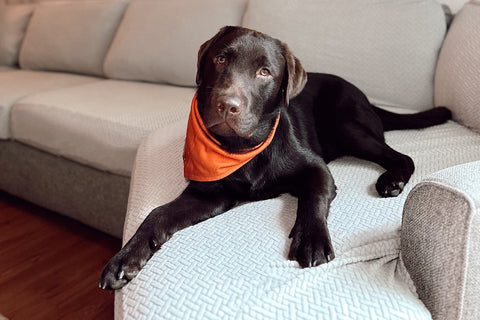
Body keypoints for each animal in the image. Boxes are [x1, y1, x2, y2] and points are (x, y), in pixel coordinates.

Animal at [99, 25, 452, 290]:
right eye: (220, 58)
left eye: (264, 72)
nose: (227, 105)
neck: (241, 148)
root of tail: (366, 96)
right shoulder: (208, 193)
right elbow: (157, 214)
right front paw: (125, 259)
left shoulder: (317, 169)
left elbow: (312, 198)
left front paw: (311, 239)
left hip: (347, 125)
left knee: (401, 156)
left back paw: (392, 180)